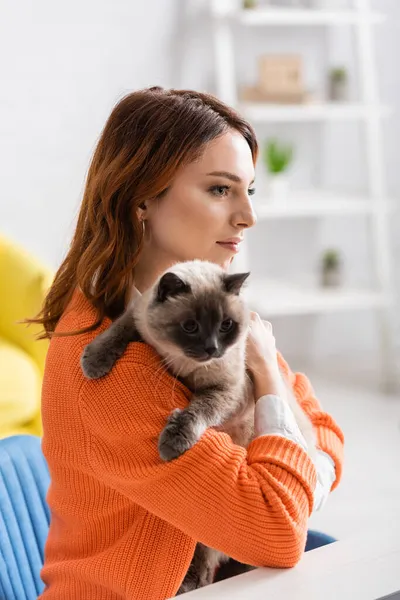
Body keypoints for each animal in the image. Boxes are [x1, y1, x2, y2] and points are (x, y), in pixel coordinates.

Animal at [79, 260, 314, 592]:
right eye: (190, 327)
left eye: (226, 325)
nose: (212, 348)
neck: (182, 363)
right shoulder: (137, 318)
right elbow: (117, 331)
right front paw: (94, 363)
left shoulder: (224, 391)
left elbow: (196, 412)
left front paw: (172, 443)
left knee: (211, 555)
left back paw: (193, 583)